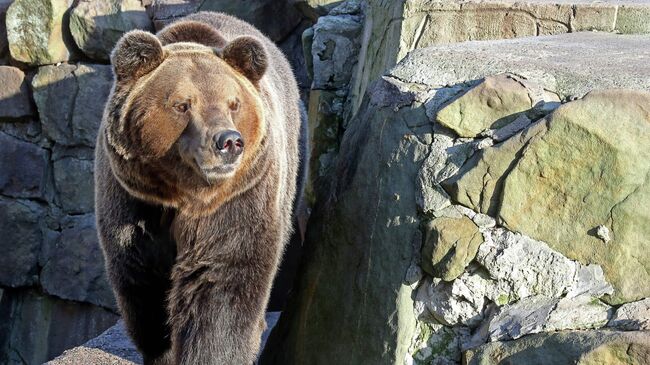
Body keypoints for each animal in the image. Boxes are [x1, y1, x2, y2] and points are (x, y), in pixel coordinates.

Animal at [93, 12, 306, 364]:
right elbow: (143, 279)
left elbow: (223, 280)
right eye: (182, 105)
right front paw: (163, 351)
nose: (229, 141)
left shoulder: (240, 197)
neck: (184, 193)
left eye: (233, 103)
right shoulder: (133, 198)